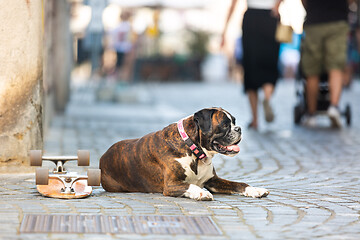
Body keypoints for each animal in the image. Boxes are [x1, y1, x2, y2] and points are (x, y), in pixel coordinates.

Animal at [100, 107, 268, 201]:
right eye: (225, 125)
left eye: (234, 122)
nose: (239, 129)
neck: (194, 151)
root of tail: (104, 155)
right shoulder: (170, 185)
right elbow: (190, 185)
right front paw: (201, 193)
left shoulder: (213, 181)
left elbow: (239, 184)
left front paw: (255, 190)